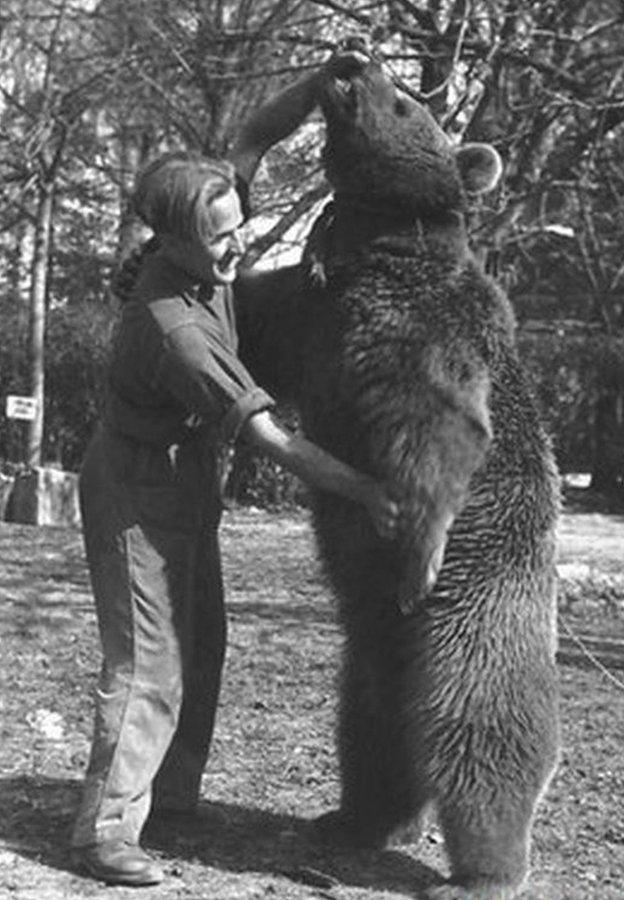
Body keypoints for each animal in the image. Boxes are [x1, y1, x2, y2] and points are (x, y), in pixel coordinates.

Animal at [235, 44, 560, 900]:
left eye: (409, 100)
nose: (349, 58)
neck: (373, 247)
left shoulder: (423, 329)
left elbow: (440, 424)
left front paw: (417, 544)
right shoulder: (308, 310)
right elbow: (253, 322)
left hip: (475, 617)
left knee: (482, 733)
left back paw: (482, 871)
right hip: (372, 656)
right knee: (370, 731)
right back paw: (357, 817)